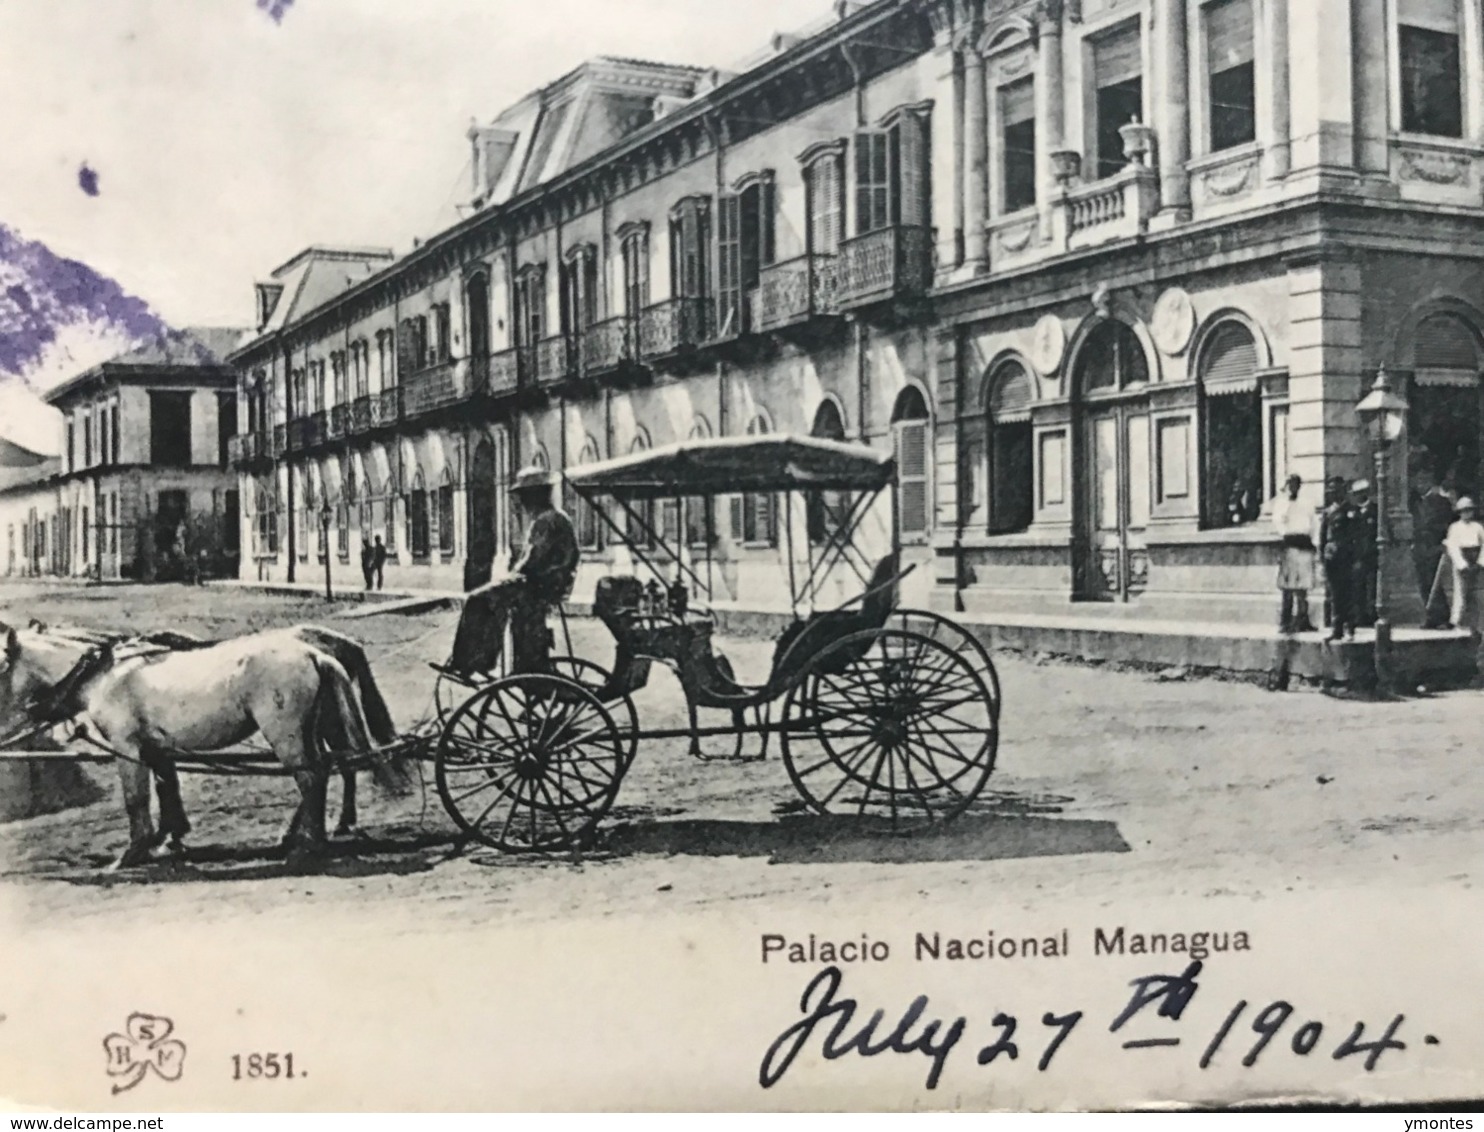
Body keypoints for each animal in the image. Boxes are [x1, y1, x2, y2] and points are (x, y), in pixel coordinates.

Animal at [0, 623, 409, 872]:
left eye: (2, 666)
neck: (103, 674)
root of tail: (314, 653)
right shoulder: (155, 747)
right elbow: (166, 789)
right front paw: (168, 838)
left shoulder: (127, 746)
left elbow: (136, 799)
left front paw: (133, 853)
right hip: (311, 728)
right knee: (328, 768)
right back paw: (312, 836)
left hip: (286, 732)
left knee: (312, 777)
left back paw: (306, 845)